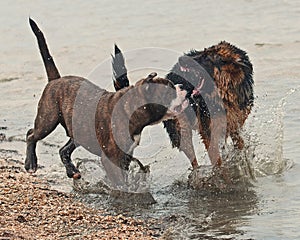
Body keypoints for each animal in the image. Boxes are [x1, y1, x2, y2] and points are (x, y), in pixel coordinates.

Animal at [25, 19, 188, 188]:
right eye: (169, 91)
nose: (182, 86)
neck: (129, 110)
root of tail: (56, 80)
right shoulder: (111, 159)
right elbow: (120, 182)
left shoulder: (124, 157)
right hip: (47, 120)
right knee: (31, 135)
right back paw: (31, 164)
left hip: (77, 132)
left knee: (63, 150)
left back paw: (72, 171)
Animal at [112, 42, 253, 171]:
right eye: (203, 52)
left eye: (206, 58)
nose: (181, 58)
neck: (225, 95)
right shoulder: (209, 132)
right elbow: (217, 159)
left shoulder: (235, 125)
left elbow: (240, 144)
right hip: (181, 128)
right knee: (192, 157)